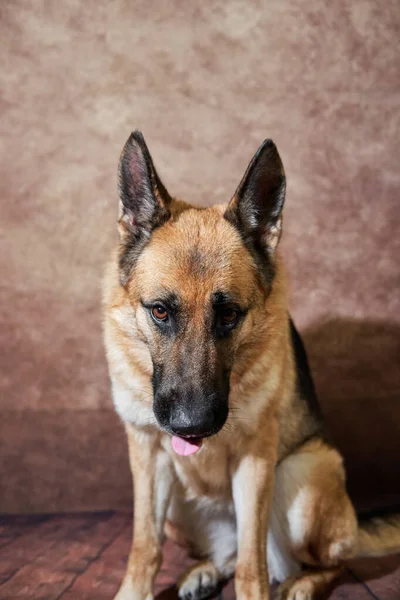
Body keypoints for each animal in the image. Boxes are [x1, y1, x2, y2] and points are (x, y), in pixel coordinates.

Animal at [103, 132, 400, 600]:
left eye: (229, 315)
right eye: (160, 312)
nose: (192, 426)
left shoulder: (255, 460)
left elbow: (251, 560)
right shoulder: (147, 454)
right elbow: (143, 546)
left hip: (301, 478)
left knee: (329, 561)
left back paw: (301, 584)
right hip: (177, 510)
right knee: (224, 553)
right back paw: (206, 571)